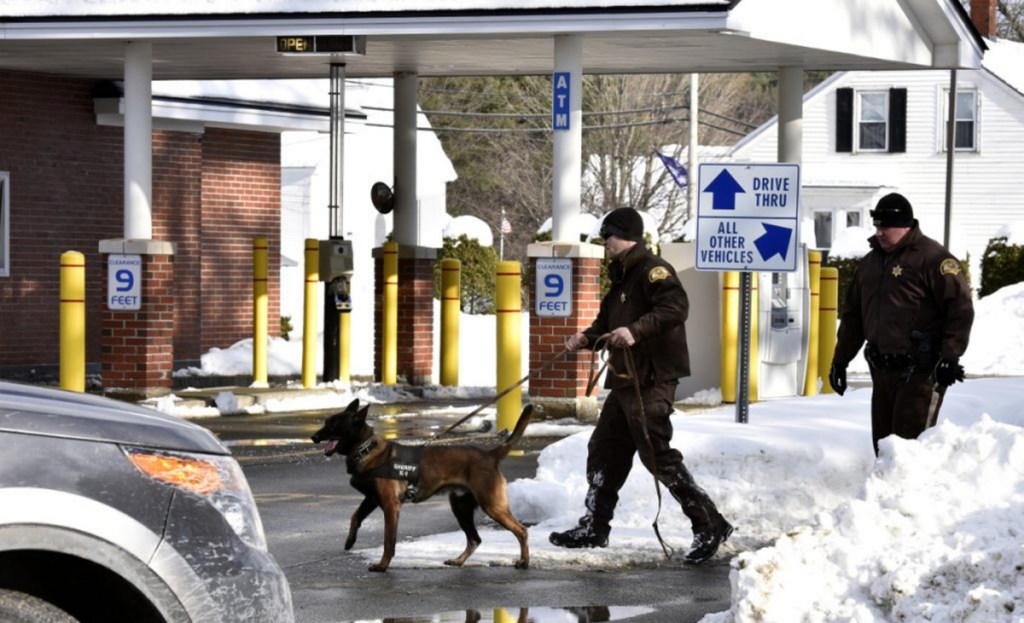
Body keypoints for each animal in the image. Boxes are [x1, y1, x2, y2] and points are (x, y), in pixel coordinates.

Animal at [309, 401, 536, 573]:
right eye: (326, 422)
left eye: (333, 425)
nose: (314, 437)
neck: (366, 450)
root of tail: (490, 455)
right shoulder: (372, 499)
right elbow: (355, 516)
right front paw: (350, 540)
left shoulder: (390, 506)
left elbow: (388, 540)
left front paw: (383, 565)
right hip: (460, 508)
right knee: (475, 539)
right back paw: (458, 561)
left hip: (492, 505)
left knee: (521, 531)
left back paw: (524, 561)